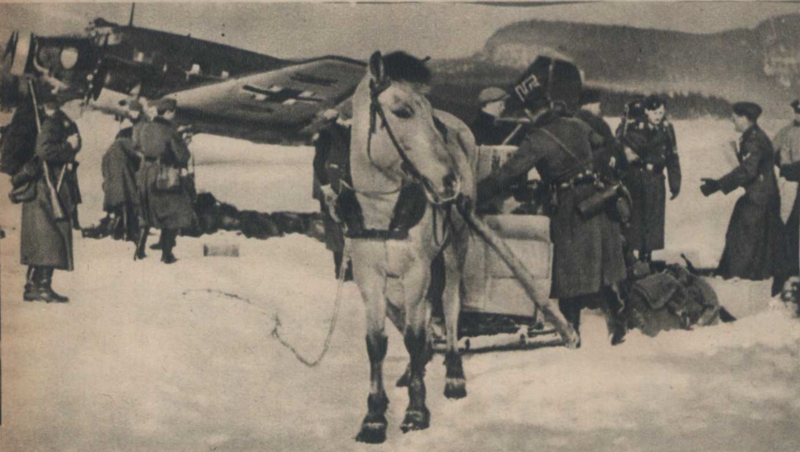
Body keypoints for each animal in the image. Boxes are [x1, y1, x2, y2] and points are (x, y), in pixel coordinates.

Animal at [348, 51, 476, 444]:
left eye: (429, 113)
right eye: (402, 111)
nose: (450, 181)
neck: (383, 211)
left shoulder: (417, 271)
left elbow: (415, 336)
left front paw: (417, 410)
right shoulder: (369, 276)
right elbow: (377, 341)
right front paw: (374, 416)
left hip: (454, 250)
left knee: (448, 305)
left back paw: (453, 374)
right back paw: (411, 371)